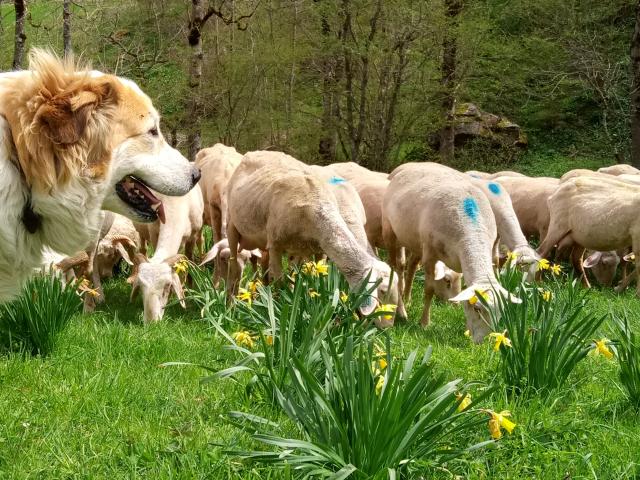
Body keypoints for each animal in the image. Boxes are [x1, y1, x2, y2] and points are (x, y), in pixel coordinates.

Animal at [127, 184, 202, 322]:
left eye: (167, 285)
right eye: (140, 287)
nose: (151, 322)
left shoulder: (193, 236)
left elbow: (189, 261)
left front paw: (189, 290)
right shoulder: (154, 233)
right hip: (141, 229)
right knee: (143, 248)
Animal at [222, 150, 398, 324]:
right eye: (382, 291)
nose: (387, 326)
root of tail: (254, 152)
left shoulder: (313, 249)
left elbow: (312, 279)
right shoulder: (276, 244)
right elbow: (279, 282)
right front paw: (277, 312)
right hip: (232, 224)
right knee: (234, 265)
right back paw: (230, 306)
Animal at [380, 162, 520, 342]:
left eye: (500, 311)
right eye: (477, 308)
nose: (484, 340)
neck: (472, 232)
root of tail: (408, 167)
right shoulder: (430, 255)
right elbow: (429, 290)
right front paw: (424, 323)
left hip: (416, 241)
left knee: (410, 267)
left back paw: (407, 298)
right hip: (390, 231)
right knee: (396, 268)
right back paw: (401, 310)